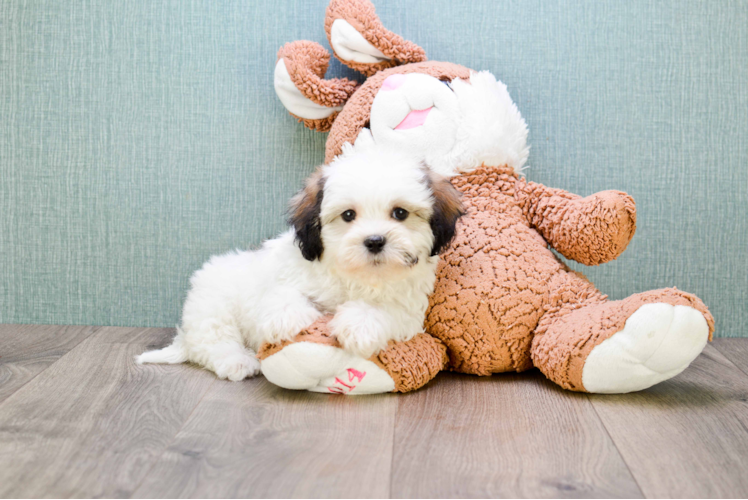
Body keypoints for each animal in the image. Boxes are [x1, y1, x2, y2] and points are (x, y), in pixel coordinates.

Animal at [134, 150, 462, 380]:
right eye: (348, 215)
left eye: (400, 213)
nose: (375, 240)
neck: (357, 277)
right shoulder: (286, 274)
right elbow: (282, 294)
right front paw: (289, 318)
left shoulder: (410, 310)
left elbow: (386, 310)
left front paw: (359, 324)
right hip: (212, 305)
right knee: (214, 342)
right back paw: (237, 361)